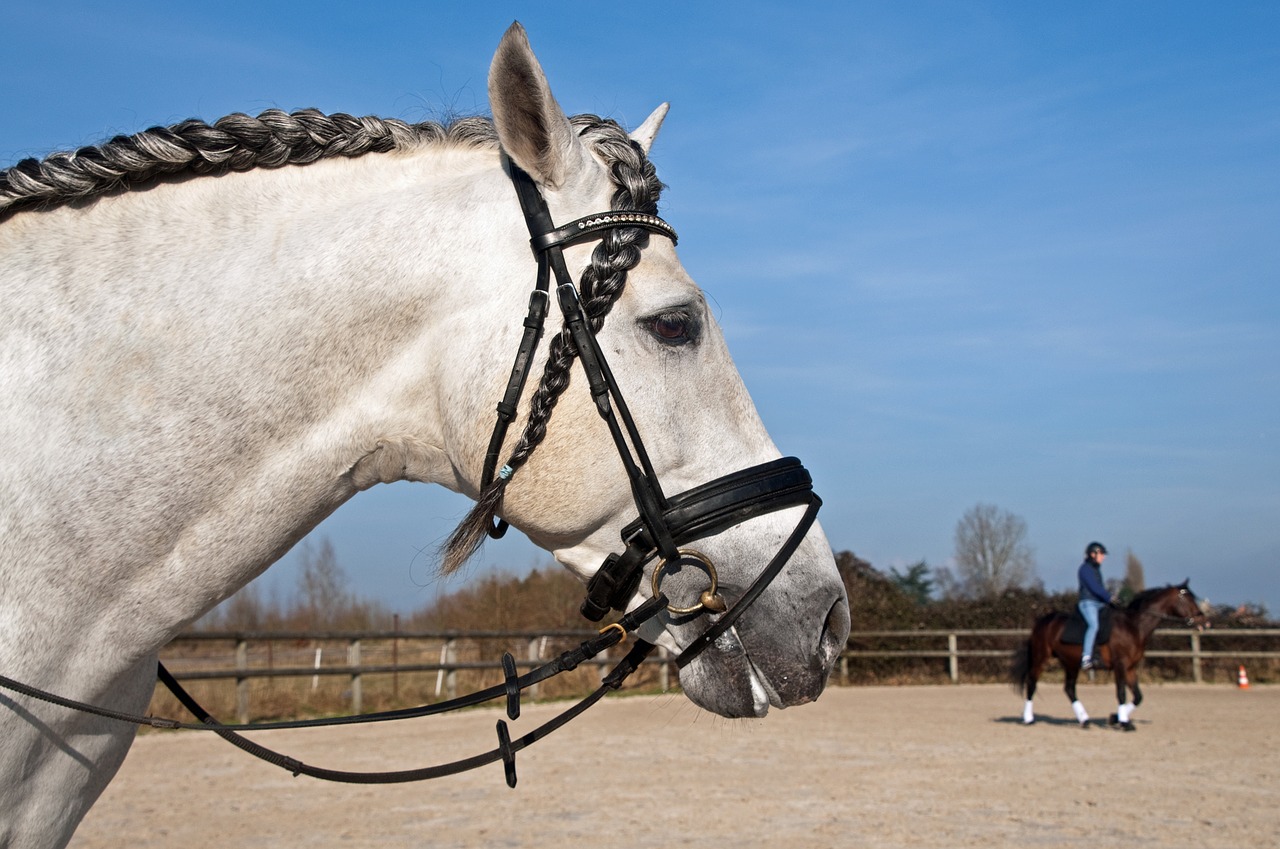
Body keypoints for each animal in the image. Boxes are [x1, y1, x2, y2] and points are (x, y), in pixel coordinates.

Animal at [1008, 583, 1208, 732]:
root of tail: (1043, 621)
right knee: (1032, 683)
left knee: (1069, 689)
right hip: (1041, 658)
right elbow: (1121, 693)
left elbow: (1137, 696)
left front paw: (1116, 718)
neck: (1133, 626)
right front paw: (1124, 722)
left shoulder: (1130, 668)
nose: (1204, 622)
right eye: (1187, 599)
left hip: (1071, 663)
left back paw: (1085, 720)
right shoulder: (1120, 665)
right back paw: (1029, 718)